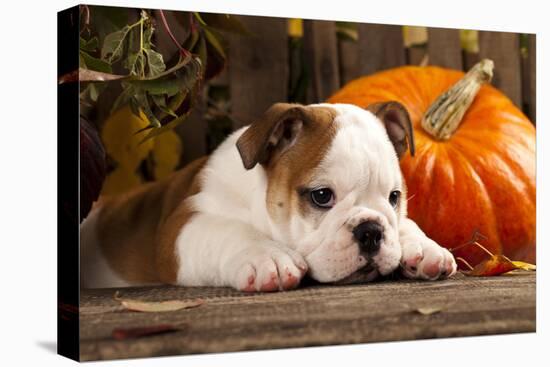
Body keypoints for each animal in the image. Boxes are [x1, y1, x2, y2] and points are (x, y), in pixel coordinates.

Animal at [82, 102, 460, 292]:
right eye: (322, 196)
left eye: (394, 196)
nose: (371, 231)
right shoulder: (182, 225)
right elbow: (227, 230)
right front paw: (268, 257)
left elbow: (406, 224)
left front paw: (422, 246)